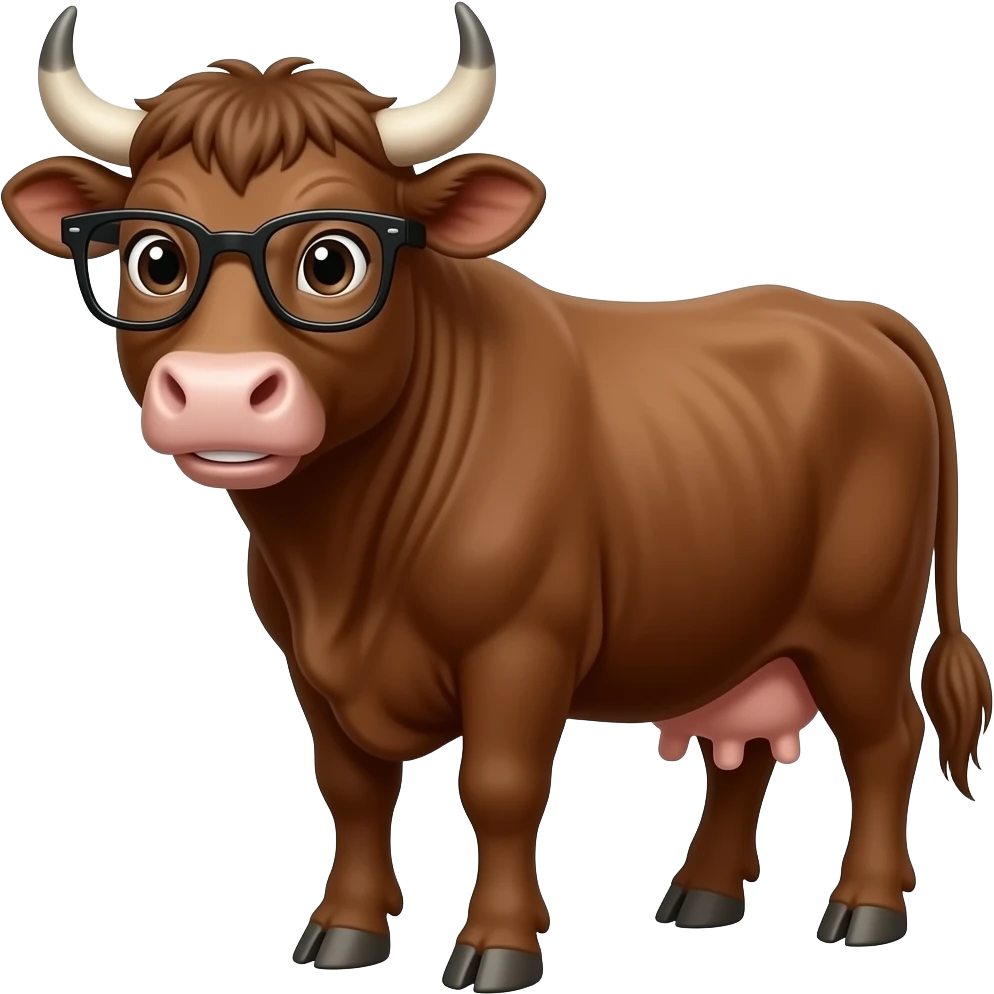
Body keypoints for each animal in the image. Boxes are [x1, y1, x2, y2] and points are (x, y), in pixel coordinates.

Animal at [3, 4, 990, 990]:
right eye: (154, 257)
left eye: (332, 261)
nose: (218, 392)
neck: (341, 560)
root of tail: (850, 315)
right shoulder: (308, 663)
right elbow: (352, 790)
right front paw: (346, 929)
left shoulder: (521, 645)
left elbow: (499, 788)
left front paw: (498, 946)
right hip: (738, 626)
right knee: (741, 753)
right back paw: (703, 897)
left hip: (861, 625)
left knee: (886, 741)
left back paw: (865, 907)